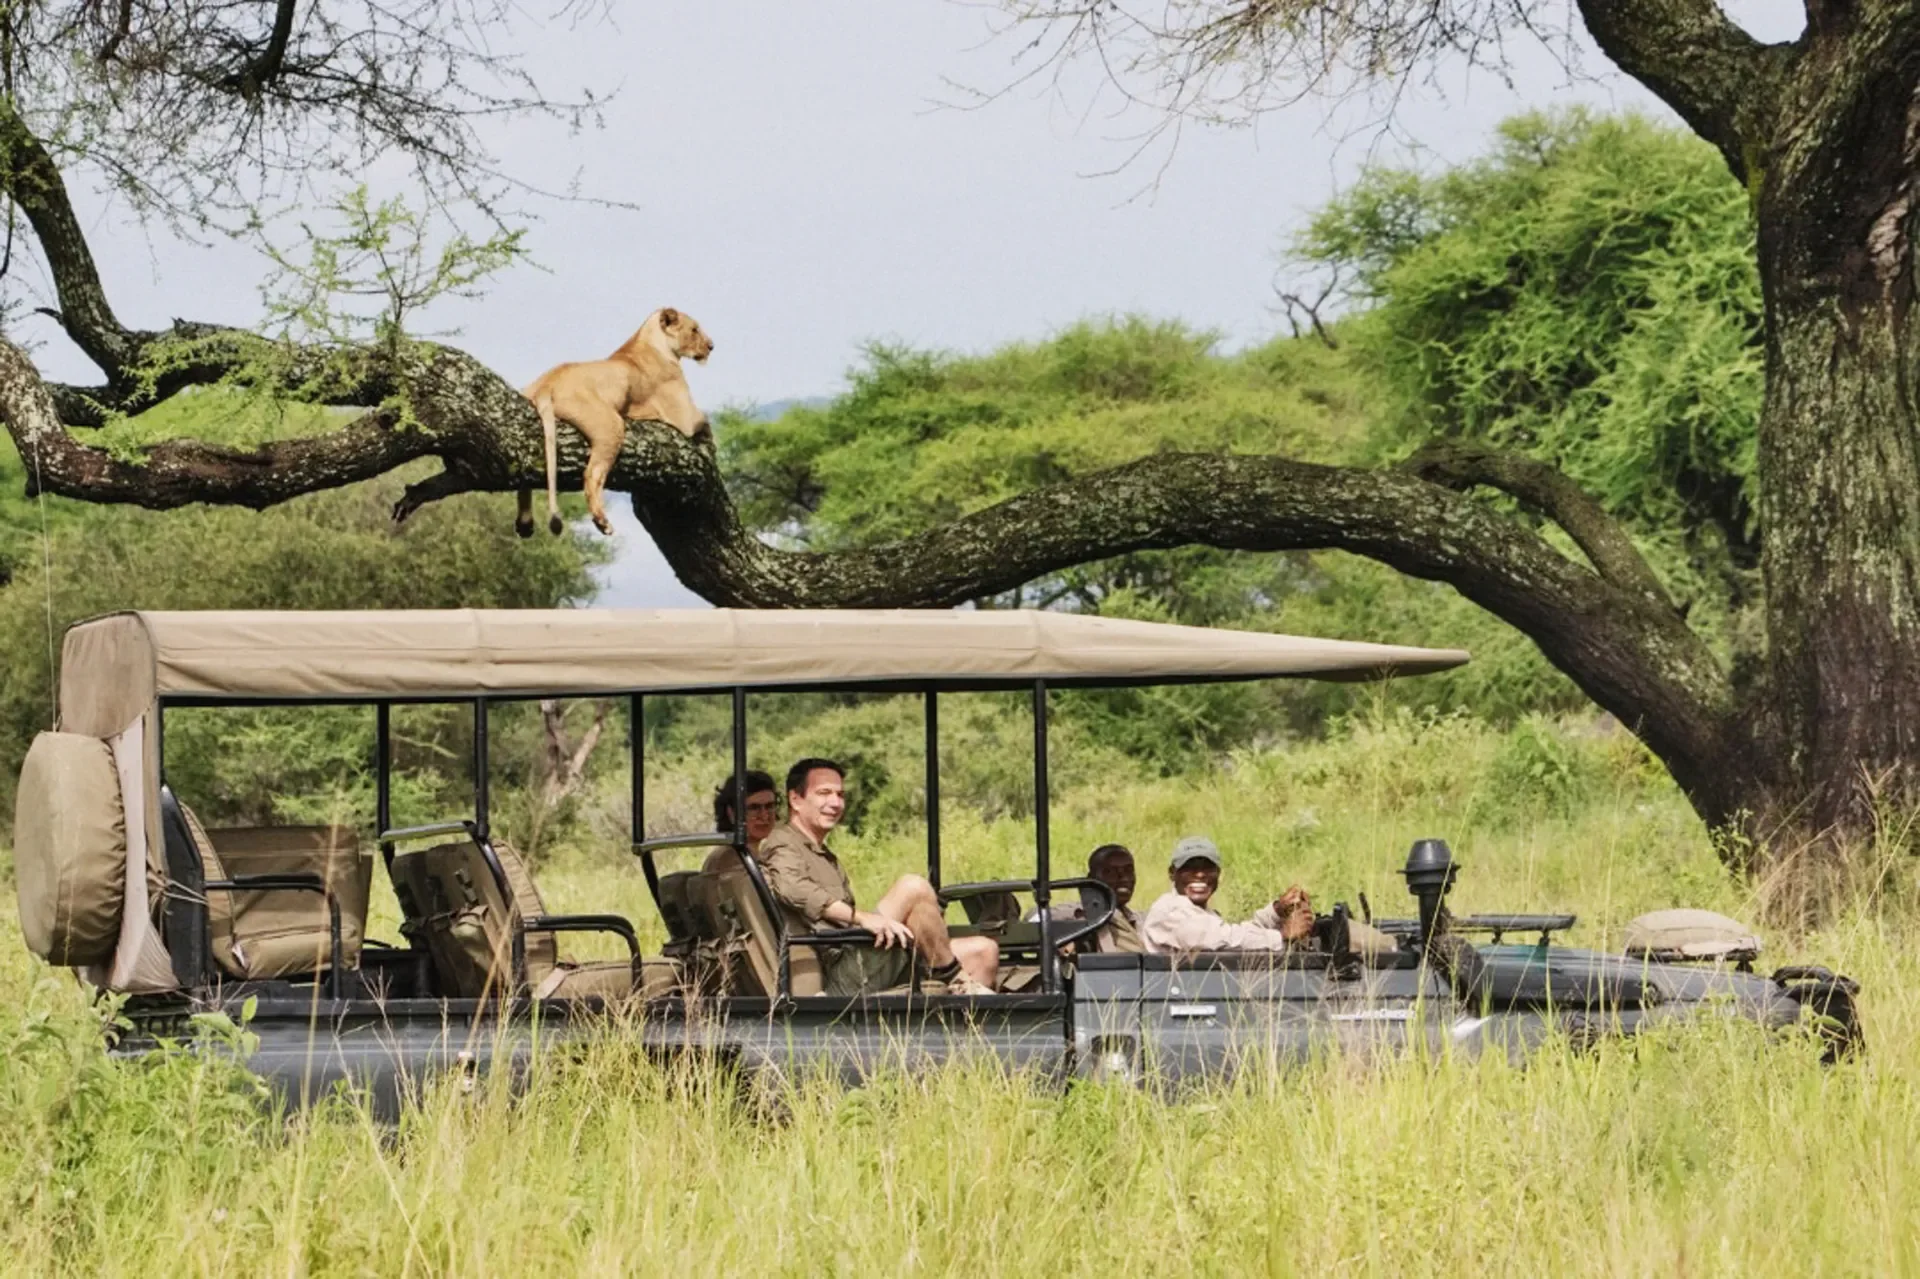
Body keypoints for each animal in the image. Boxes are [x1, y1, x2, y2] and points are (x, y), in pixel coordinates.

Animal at [517, 307, 716, 537]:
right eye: (694, 329)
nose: (711, 346)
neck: (649, 340)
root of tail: (546, 385)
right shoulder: (684, 416)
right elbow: (707, 422)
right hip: (611, 424)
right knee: (592, 474)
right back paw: (601, 521)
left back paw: (524, 523)